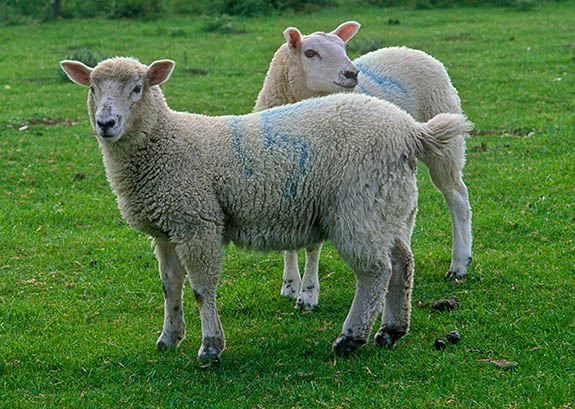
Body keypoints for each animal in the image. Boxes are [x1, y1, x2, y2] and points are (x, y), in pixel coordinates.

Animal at [60, 55, 472, 358]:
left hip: (358, 206)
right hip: (383, 206)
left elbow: (201, 288)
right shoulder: (166, 228)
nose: (106, 123)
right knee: (402, 262)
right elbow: (170, 286)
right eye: (93, 88)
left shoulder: (198, 222)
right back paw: (391, 330)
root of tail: (410, 130)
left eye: (138, 88)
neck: (167, 143)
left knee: (375, 272)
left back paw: (350, 338)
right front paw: (170, 337)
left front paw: (210, 347)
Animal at [255, 21, 472, 310]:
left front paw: (308, 295)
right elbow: (289, 244)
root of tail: (411, 50)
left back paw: (459, 263)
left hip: (444, 141)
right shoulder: (285, 183)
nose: (351, 73)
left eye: (344, 49)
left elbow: (313, 248)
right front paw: (290, 284)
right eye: (310, 53)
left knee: (457, 196)